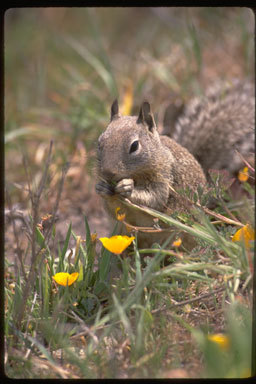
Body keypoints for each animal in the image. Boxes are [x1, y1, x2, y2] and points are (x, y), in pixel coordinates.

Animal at [95, 80, 254, 249]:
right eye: (99, 143)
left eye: (134, 146)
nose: (108, 173)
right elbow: (112, 210)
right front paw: (101, 188)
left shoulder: (165, 176)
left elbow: (155, 199)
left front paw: (127, 187)